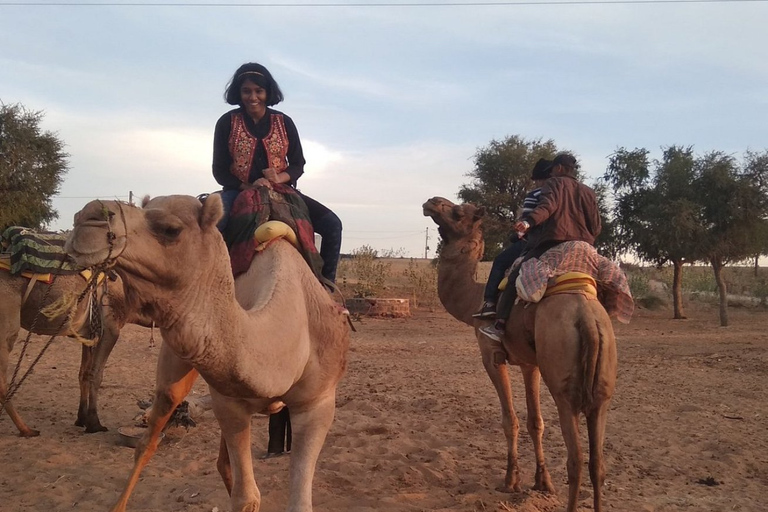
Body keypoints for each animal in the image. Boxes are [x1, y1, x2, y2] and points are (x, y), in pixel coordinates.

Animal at [0, 262, 146, 434]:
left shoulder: (90, 333)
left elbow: (83, 374)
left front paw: (81, 419)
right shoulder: (110, 330)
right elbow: (96, 375)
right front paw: (94, 424)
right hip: (6, 323)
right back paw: (26, 430)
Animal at [65, 195, 348, 512]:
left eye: (171, 229)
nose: (87, 217)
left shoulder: (317, 402)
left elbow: (296, 502)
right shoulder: (228, 401)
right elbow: (246, 496)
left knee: (221, 462)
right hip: (175, 369)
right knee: (149, 440)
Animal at [424, 197, 616, 512]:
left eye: (459, 212)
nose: (432, 202)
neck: (473, 300)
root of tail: (587, 319)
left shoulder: (492, 356)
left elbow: (510, 420)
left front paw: (511, 481)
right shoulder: (530, 364)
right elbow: (535, 423)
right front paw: (542, 482)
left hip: (564, 384)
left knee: (575, 458)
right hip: (603, 381)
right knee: (597, 462)